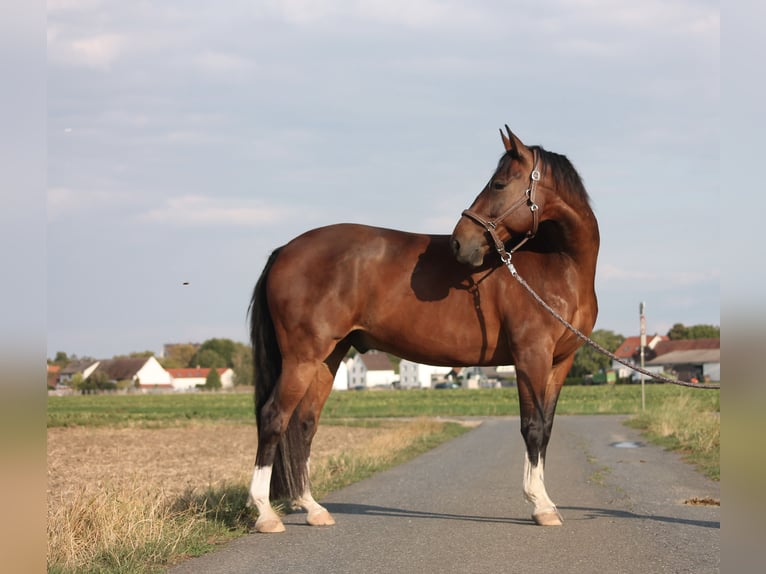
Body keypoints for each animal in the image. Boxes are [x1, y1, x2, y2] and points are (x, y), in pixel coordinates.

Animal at [247, 126, 599, 532]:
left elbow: (547, 427)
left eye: (498, 184)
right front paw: (540, 505)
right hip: (302, 357)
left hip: (327, 357)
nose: (460, 243)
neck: (558, 265)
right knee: (273, 417)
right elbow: (533, 427)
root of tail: (286, 250)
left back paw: (313, 508)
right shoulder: (531, 357)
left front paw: (545, 501)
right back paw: (265, 513)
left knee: (304, 424)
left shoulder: (560, 361)